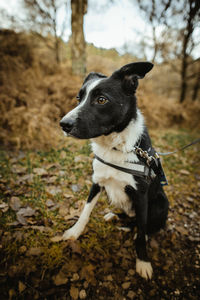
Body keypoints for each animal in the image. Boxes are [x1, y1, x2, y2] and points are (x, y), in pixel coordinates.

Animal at [59, 62, 169, 280]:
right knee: (130, 220)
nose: (63, 124)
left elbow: (141, 233)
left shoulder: (141, 196)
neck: (116, 146)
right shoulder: (97, 182)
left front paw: (143, 261)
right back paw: (115, 217)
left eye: (101, 100)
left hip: (162, 204)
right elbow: (85, 211)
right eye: (78, 98)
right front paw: (74, 232)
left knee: (143, 225)